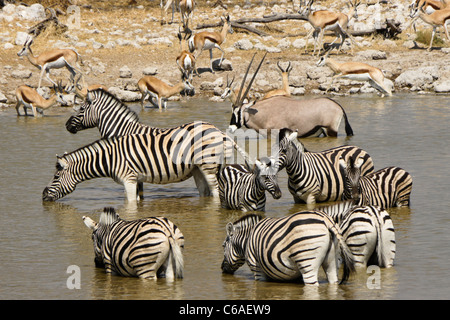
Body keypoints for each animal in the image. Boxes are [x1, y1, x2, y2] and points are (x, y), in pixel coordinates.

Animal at [42, 121, 246, 204]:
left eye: (56, 176)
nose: (43, 196)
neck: (110, 158)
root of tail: (218, 131)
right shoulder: (136, 179)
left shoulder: (128, 179)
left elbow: (130, 203)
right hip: (197, 169)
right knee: (205, 193)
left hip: (209, 166)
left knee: (216, 194)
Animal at [221, 211, 356, 286]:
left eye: (223, 246)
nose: (222, 268)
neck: (247, 240)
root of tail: (326, 220)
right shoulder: (295, 275)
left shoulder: (257, 269)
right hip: (333, 260)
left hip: (307, 261)